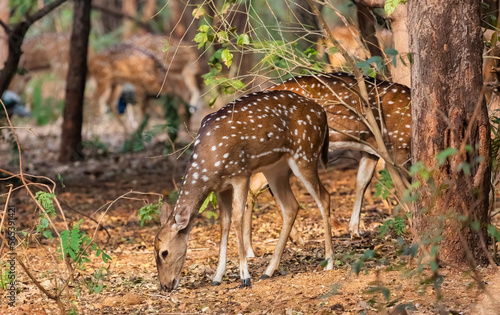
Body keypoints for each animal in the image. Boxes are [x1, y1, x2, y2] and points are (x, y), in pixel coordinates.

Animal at [242, 71, 410, 249]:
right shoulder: (398, 144)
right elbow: (403, 184)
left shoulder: (372, 148)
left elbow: (362, 181)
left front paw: (355, 230)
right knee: (254, 187)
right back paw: (253, 247)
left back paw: (295, 239)